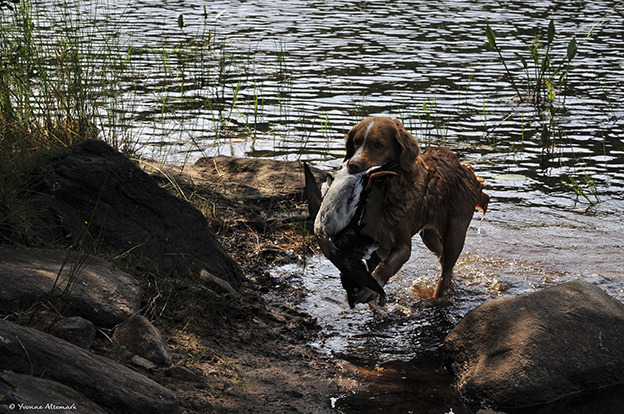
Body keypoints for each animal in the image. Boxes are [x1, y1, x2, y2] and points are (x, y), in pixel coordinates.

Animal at [342, 116, 488, 304]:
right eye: (356, 141)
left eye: (378, 144)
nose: (353, 165)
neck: (383, 190)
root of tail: (467, 170)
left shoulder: (403, 246)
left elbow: (386, 266)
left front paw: (369, 290)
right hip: (429, 236)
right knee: (443, 261)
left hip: (455, 234)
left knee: (446, 271)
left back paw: (435, 298)